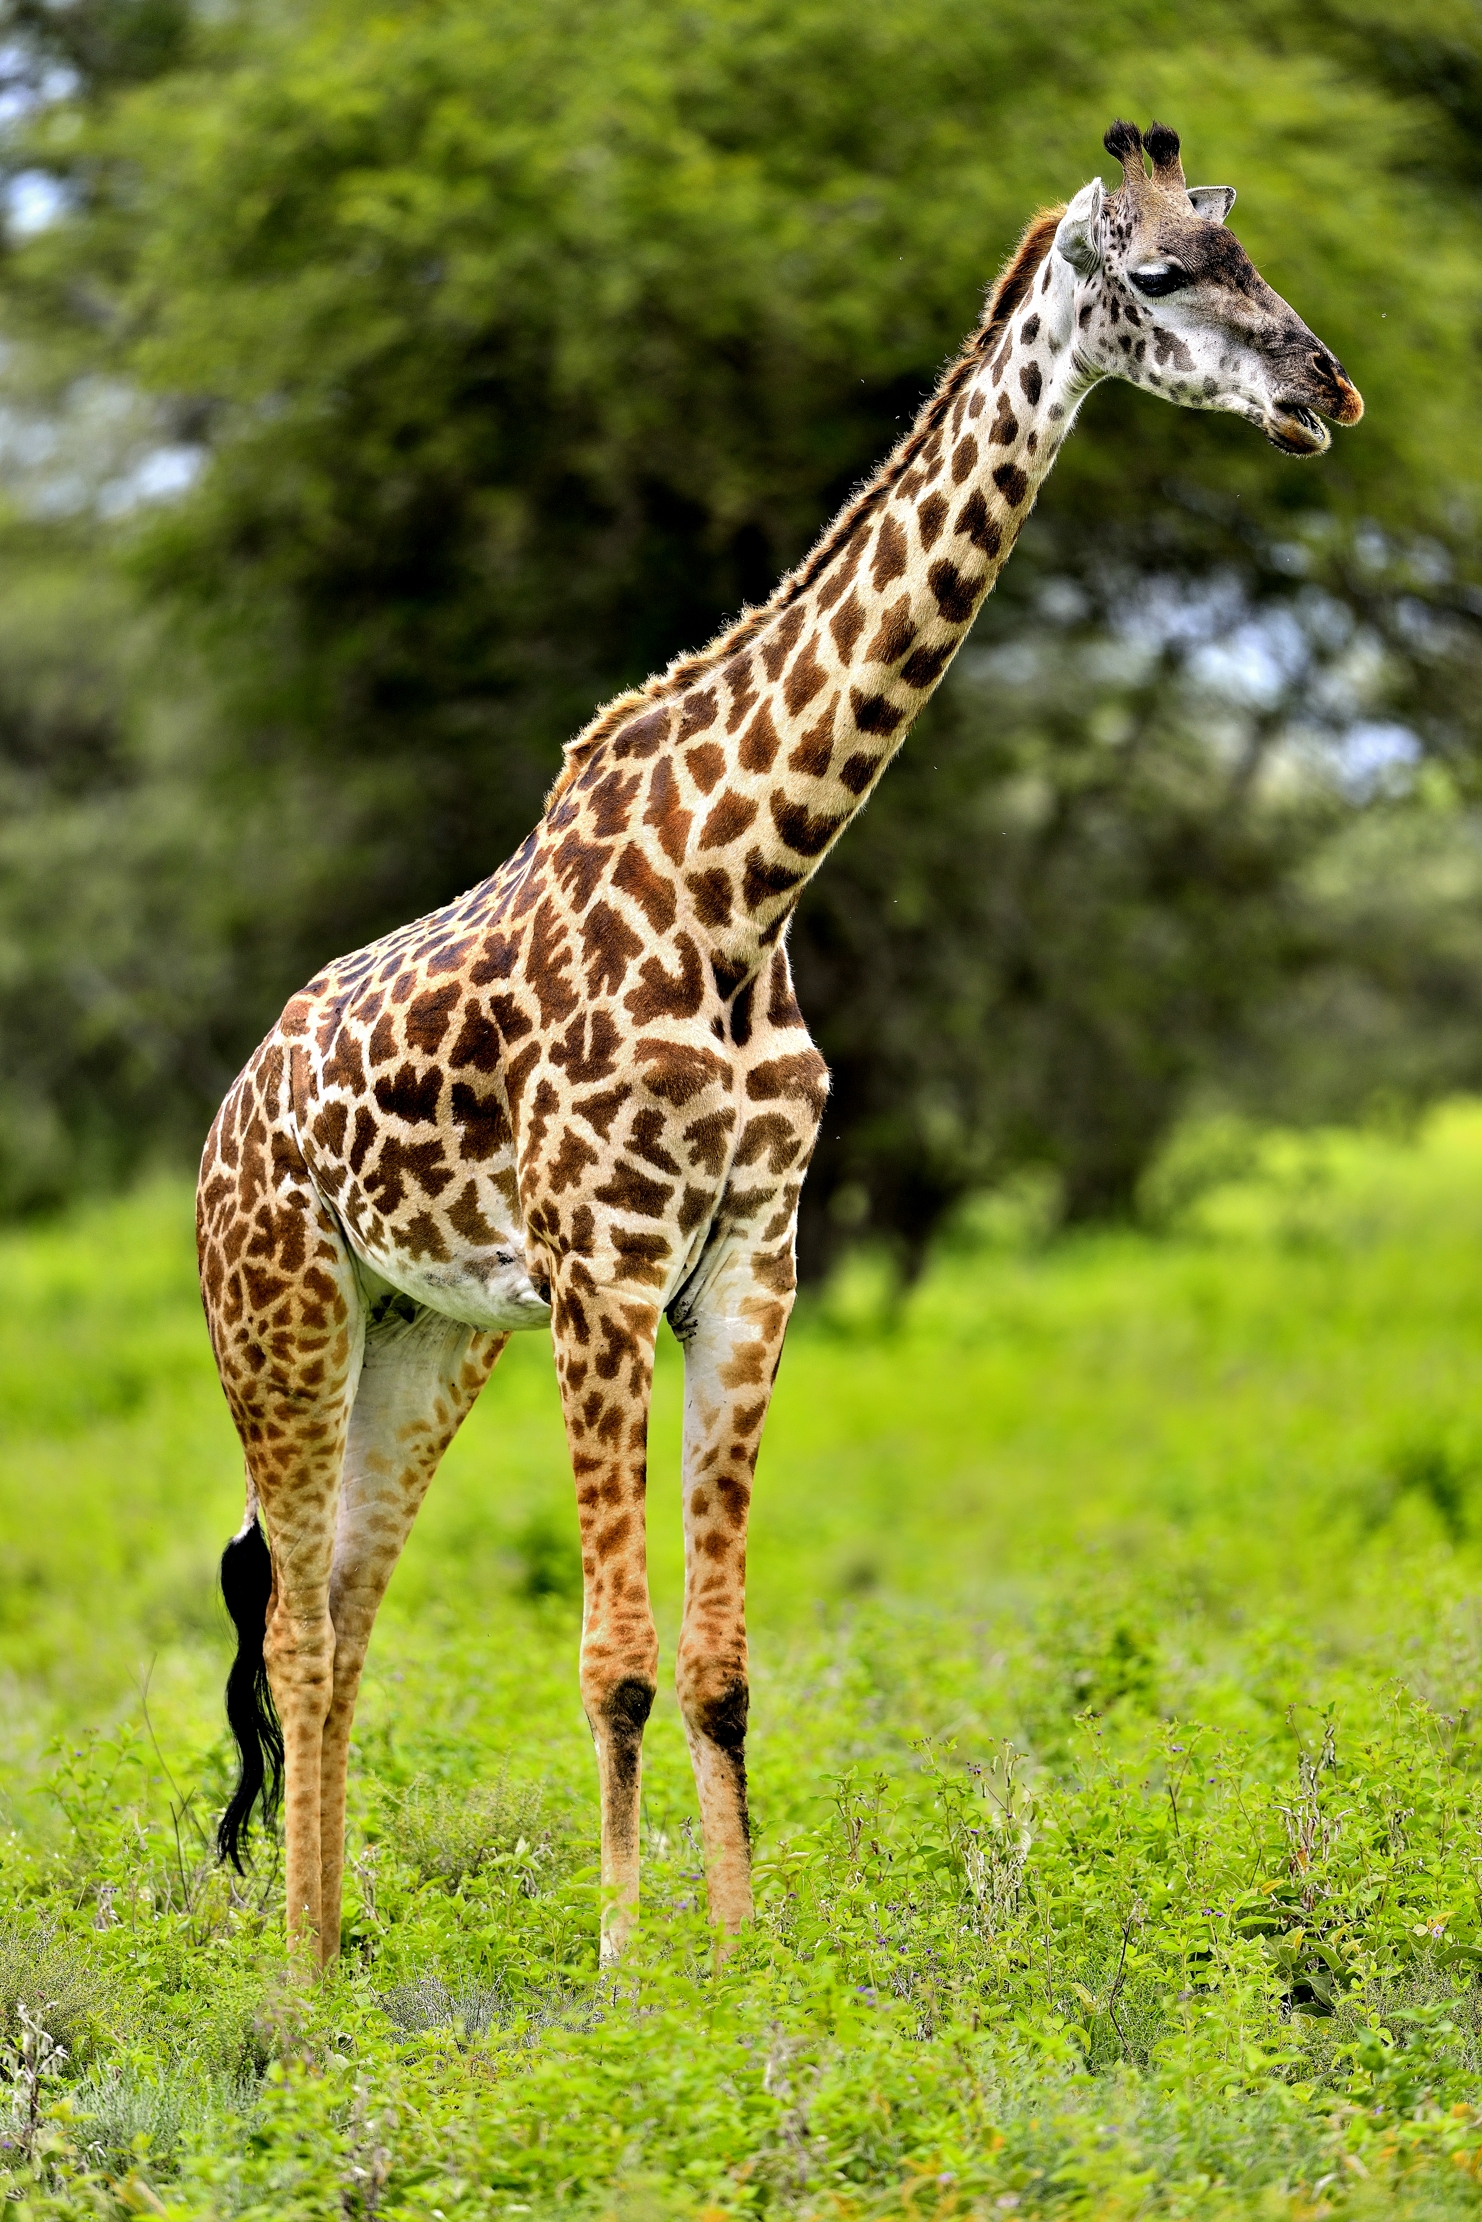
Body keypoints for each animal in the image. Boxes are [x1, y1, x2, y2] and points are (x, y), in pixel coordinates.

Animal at [199, 120, 1362, 1972]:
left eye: (1254, 257)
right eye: (1166, 273)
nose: (1327, 391)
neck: (750, 891)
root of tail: (228, 1118)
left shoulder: (754, 1262)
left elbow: (722, 1668)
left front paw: (741, 1966)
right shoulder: (603, 1272)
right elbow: (612, 1659)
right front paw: (623, 1975)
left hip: (422, 1337)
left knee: (344, 1611)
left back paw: (330, 1955)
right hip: (279, 1314)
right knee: (299, 1626)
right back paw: (302, 1989)